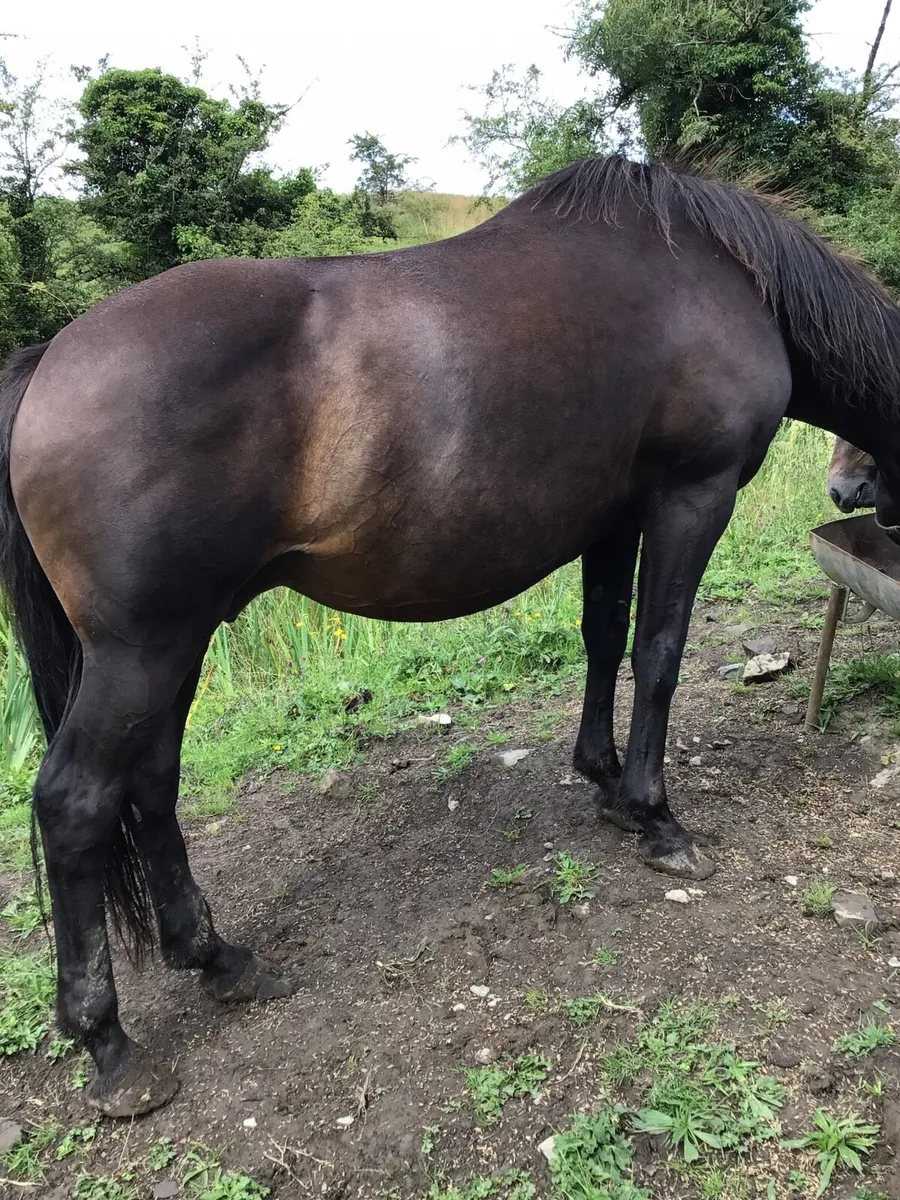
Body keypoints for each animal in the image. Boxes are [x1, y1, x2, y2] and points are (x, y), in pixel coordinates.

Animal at [5, 154, 900, 1118]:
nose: (851, 490)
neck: (723, 273)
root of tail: (49, 361)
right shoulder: (691, 497)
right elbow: (658, 653)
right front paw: (656, 817)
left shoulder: (615, 515)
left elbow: (603, 636)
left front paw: (602, 778)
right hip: (141, 651)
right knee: (77, 802)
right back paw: (110, 1045)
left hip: (179, 641)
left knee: (152, 783)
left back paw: (220, 960)